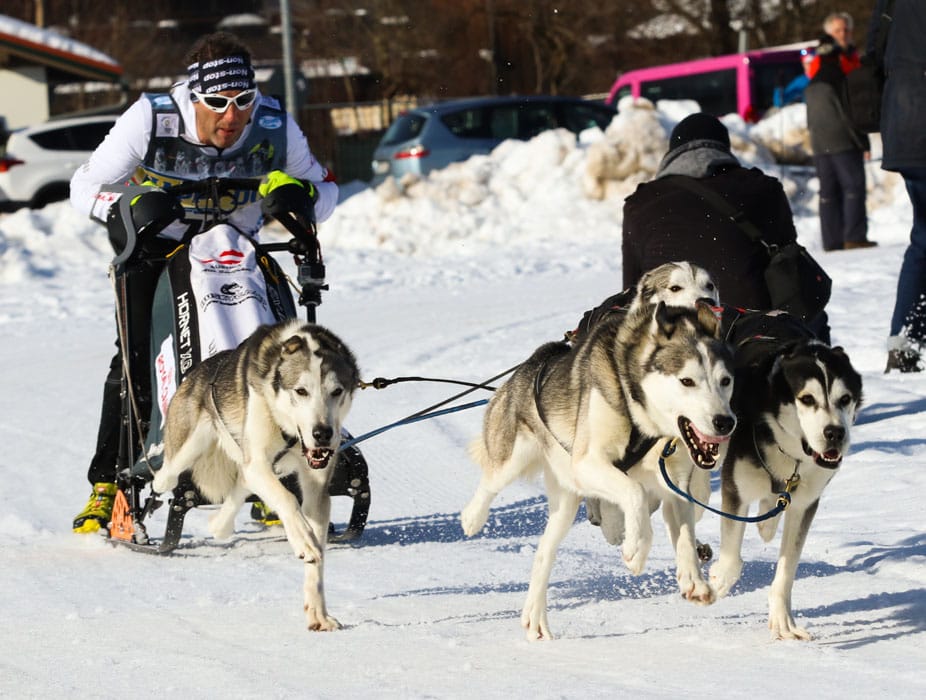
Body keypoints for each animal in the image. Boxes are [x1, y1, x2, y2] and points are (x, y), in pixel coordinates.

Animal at [152, 320, 358, 632]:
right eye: (301, 391)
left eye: (337, 391)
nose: (322, 434)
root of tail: (196, 372)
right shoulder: (259, 462)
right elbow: (288, 499)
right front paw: (302, 539)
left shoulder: (316, 487)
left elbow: (317, 557)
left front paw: (318, 612)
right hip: (190, 446)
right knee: (166, 476)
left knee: (237, 494)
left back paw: (219, 524)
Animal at [464, 298, 740, 636]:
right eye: (687, 381)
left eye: (725, 381)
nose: (725, 422)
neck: (642, 418)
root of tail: (537, 358)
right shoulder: (588, 463)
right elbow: (634, 493)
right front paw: (636, 549)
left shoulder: (675, 483)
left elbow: (685, 534)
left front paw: (694, 581)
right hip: (516, 458)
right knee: (490, 481)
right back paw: (472, 518)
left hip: (566, 502)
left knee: (544, 552)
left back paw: (535, 616)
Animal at [712, 312, 864, 640]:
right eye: (806, 399)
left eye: (845, 399)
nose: (835, 433)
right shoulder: (736, 489)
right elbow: (731, 558)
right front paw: (718, 578)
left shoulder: (805, 503)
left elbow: (787, 568)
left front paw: (782, 619)